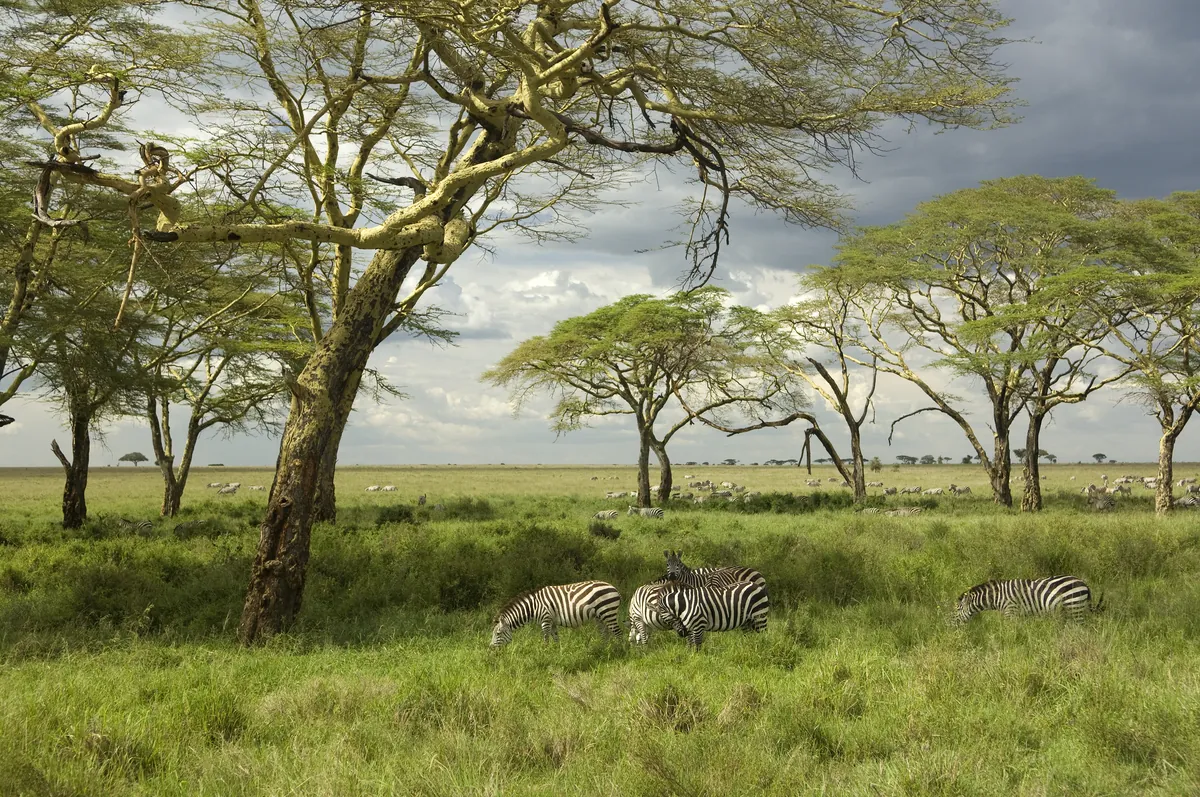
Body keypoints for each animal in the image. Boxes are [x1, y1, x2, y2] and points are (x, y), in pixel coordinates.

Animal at [490, 581, 622, 647]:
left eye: (498, 633)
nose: (490, 648)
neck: (533, 607)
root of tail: (613, 587)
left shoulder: (546, 619)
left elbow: (546, 638)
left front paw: (545, 654)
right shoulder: (552, 621)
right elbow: (555, 638)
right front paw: (558, 653)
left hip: (608, 612)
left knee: (618, 633)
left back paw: (621, 651)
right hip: (599, 616)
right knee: (605, 634)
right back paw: (605, 650)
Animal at [952, 576, 1104, 625]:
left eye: (957, 610)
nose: (950, 625)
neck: (997, 597)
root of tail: (1084, 583)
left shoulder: (1011, 612)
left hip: (1075, 607)